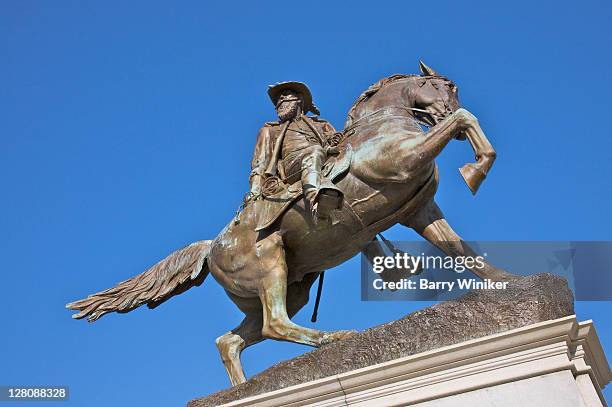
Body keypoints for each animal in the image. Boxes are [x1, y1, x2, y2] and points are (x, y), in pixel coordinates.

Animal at [68, 61, 516, 388]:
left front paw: (509, 281)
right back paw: (334, 338)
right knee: (275, 323)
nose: (441, 110)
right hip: (270, 264)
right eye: (446, 86)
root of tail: (211, 248)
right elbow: (464, 119)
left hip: (293, 286)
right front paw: (475, 169)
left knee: (232, 340)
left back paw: (242, 388)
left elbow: (460, 250)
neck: (381, 125)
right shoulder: (402, 162)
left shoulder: (418, 210)